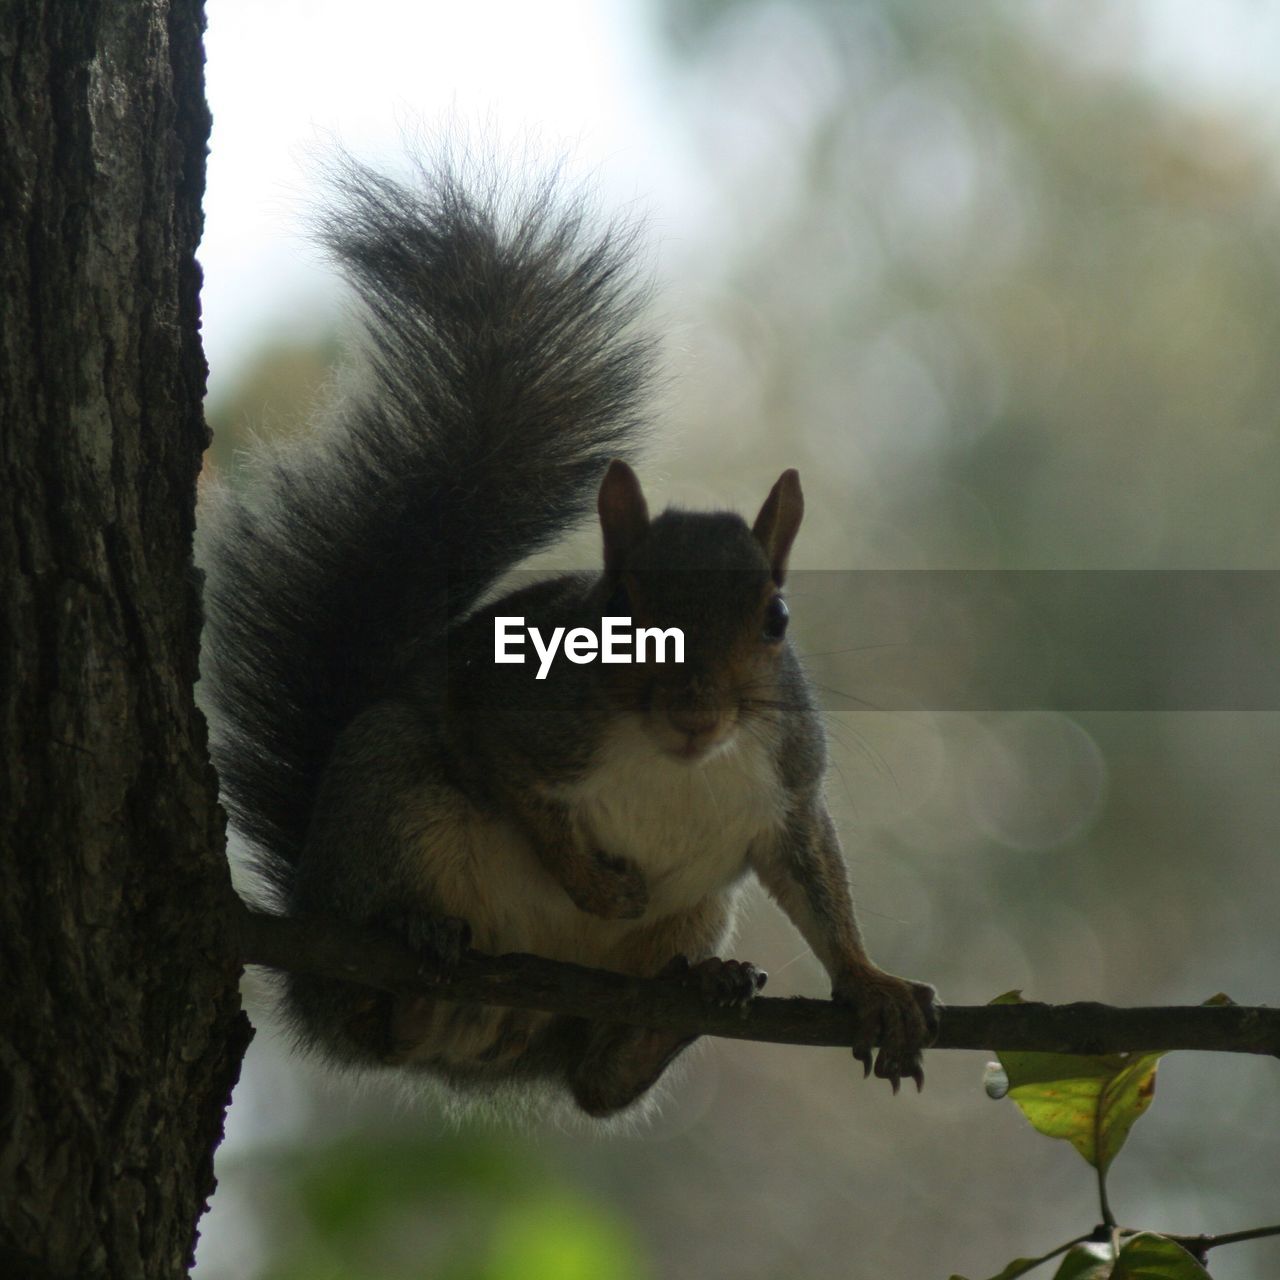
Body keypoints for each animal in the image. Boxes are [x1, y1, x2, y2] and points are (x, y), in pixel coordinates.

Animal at [199, 149, 942, 1116]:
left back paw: (686, 1002)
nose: (697, 710)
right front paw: (592, 883)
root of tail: (482, 1046)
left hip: (686, 922)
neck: (675, 759)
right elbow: (520, 790)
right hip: (386, 793)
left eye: (776, 619)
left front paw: (873, 985)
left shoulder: (788, 783)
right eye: (618, 609)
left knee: (597, 1085)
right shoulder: (515, 710)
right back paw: (414, 945)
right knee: (376, 1011)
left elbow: (820, 886)